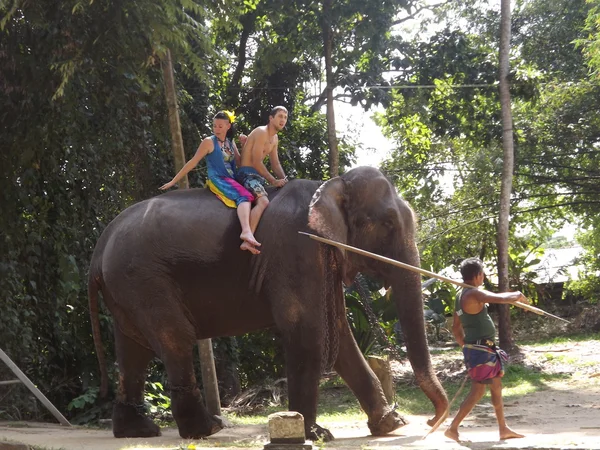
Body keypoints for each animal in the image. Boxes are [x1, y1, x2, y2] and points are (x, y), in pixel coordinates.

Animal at [88, 165, 446, 440]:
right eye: (387, 224)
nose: (430, 422)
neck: (330, 184)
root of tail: (101, 243)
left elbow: (341, 335)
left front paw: (390, 426)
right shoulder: (297, 250)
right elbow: (308, 332)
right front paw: (313, 434)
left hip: (126, 286)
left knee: (132, 350)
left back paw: (138, 431)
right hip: (142, 278)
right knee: (175, 338)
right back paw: (207, 430)